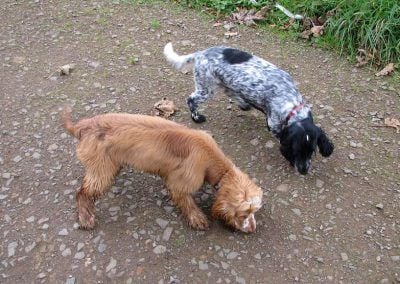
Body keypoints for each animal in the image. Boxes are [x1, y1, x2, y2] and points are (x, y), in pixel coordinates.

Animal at [61, 107, 264, 232]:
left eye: (254, 212)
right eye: (244, 214)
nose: (253, 229)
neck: (212, 162)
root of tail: (82, 126)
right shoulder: (180, 183)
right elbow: (187, 202)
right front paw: (197, 218)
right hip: (100, 171)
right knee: (82, 193)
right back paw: (85, 218)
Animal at [163, 43, 334, 174]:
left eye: (312, 151)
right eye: (297, 150)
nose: (303, 171)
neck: (290, 102)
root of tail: (200, 54)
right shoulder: (274, 123)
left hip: (223, 84)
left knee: (230, 93)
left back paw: (244, 104)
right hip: (206, 88)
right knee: (191, 100)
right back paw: (197, 117)